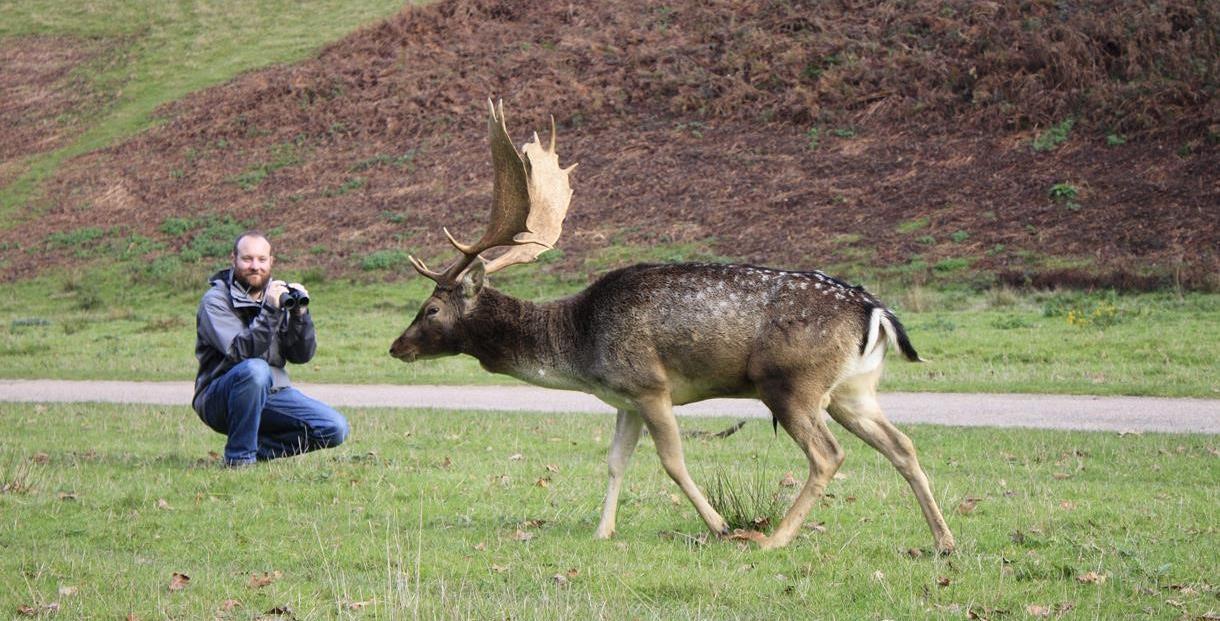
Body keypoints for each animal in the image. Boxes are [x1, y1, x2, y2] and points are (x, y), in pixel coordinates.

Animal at [390, 101, 951, 551]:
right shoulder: (624, 398)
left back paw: (772, 540)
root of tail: (876, 311)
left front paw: (720, 526)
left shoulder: (650, 384)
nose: (396, 347)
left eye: (431, 309)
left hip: (791, 383)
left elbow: (672, 462)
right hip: (853, 390)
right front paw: (602, 531)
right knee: (902, 445)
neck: (579, 348)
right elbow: (615, 461)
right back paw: (943, 541)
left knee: (828, 454)